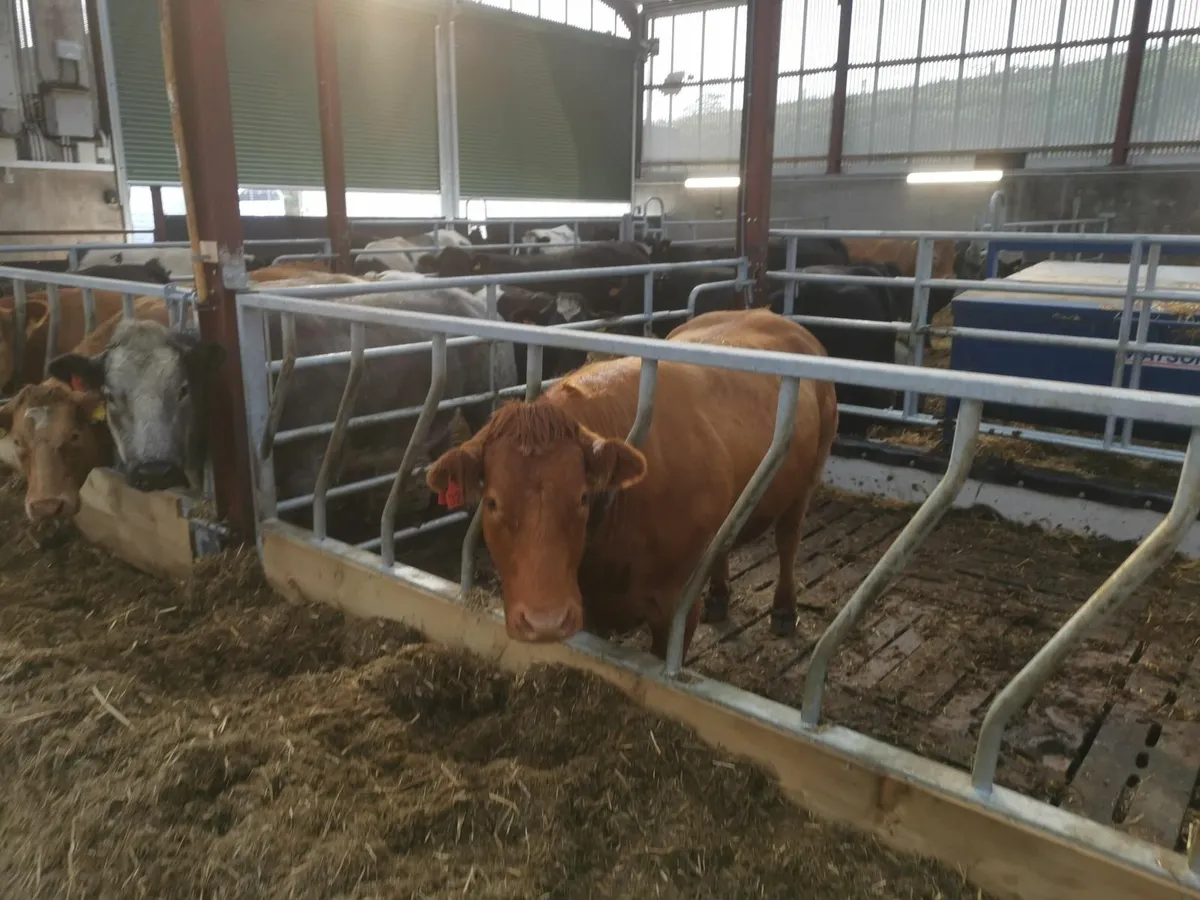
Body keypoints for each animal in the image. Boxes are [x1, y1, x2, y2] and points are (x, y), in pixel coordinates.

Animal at [426, 308, 838, 658]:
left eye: (582, 497)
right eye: (492, 502)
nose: (545, 623)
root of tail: (766, 313)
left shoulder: (674, 609)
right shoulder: (589, 610)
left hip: (809, 475)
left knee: (788, 539)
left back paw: (784, 609)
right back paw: (720, 598)